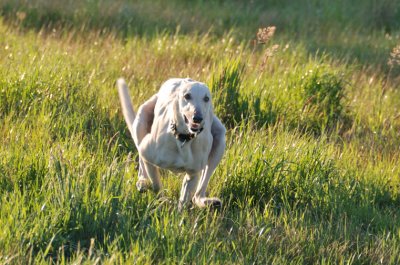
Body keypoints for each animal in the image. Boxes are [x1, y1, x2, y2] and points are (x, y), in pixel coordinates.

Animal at [117, 77, 227, 208]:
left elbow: (183, 203)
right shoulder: (147, 154)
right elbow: (156, 186)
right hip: (142, 117)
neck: (183, 139)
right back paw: (142, 181)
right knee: (141, 157)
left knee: (197, 194)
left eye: (206, 98)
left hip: (220, 138)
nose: (197, 118)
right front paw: (162, 201)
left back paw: (205, 201)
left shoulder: (193, 175)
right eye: (187, 96)